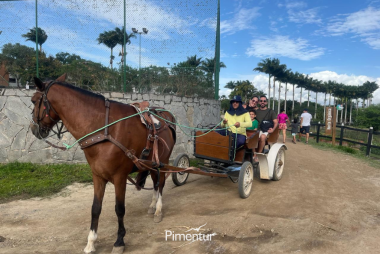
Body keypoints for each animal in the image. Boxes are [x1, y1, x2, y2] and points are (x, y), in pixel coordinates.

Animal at [30, 74, 177, 253]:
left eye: (33, 100)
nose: (33, 129)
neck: (105, 130)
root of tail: (167, 117)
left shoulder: (120, 177)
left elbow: (119, 209)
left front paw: (119, 241)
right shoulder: (98, 176)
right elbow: (95, 209)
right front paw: (91, 242)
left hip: (163, 161)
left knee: (160, 183)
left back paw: (158, 210)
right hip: (152, 163)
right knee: (155, 183)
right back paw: (153, 205)